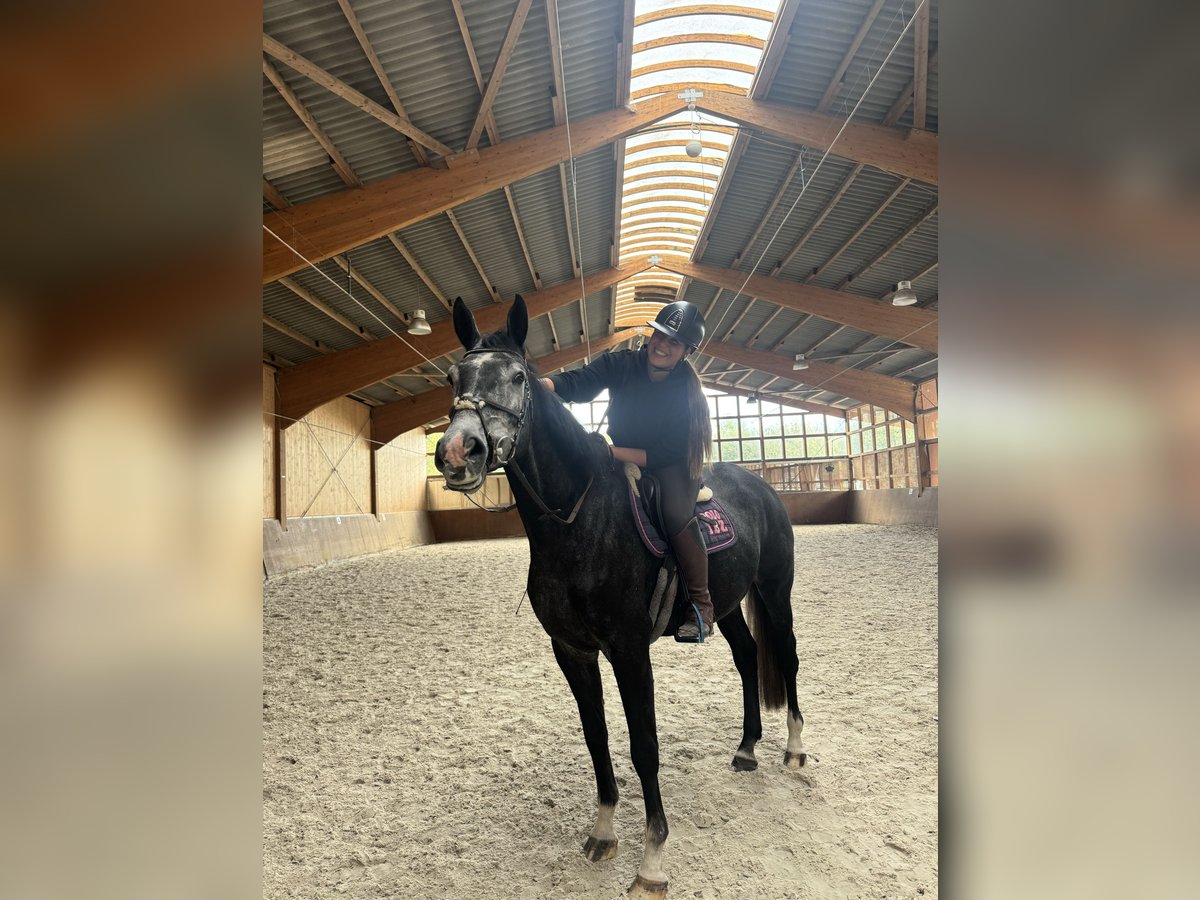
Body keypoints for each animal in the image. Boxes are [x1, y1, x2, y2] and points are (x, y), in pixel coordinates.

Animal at [434, 295, 807, 898]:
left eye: (517, 377)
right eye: (453, 377)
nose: (457, 452)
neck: (578, 521)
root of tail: (761, 486)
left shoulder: (630, 652)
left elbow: (643, 746)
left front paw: (652, 860)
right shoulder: (573, 651)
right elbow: (597, 737)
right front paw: (604, 832)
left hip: (775, 591)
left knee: (788, 657)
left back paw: (794, 749)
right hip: (725, 605)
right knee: (748, 656)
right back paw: (747, 747)